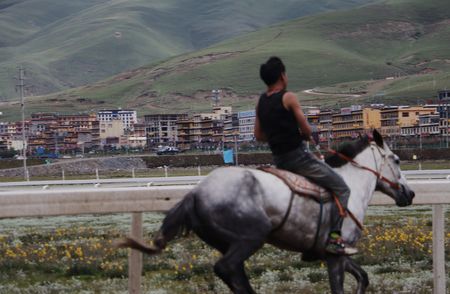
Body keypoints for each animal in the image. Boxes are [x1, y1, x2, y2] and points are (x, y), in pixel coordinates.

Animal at [118, 131, 414, 294]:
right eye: (397, 160)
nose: (409, 194)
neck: (351, 186)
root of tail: (195, 193)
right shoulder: (335, 256)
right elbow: (339, 287)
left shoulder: (334, 253)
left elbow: (363, 277)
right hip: (251, 238)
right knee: (227, 268)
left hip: (228, 242)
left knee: (233, 272)